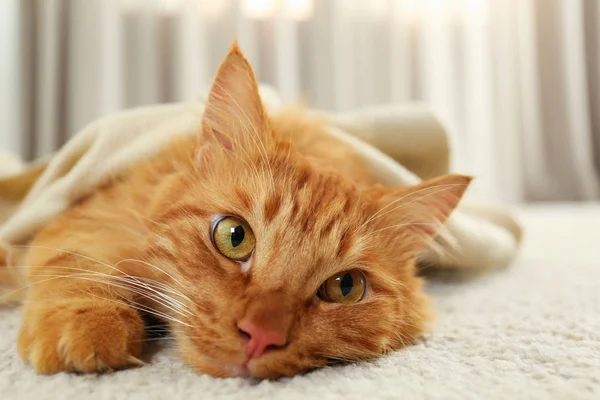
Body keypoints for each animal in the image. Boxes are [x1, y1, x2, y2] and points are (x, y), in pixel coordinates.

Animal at [15, 43, 468, 378]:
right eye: (234, 236)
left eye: (345, 287)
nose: (259, 335)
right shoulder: (98, 215)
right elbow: (78, 261)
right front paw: (86, 320)